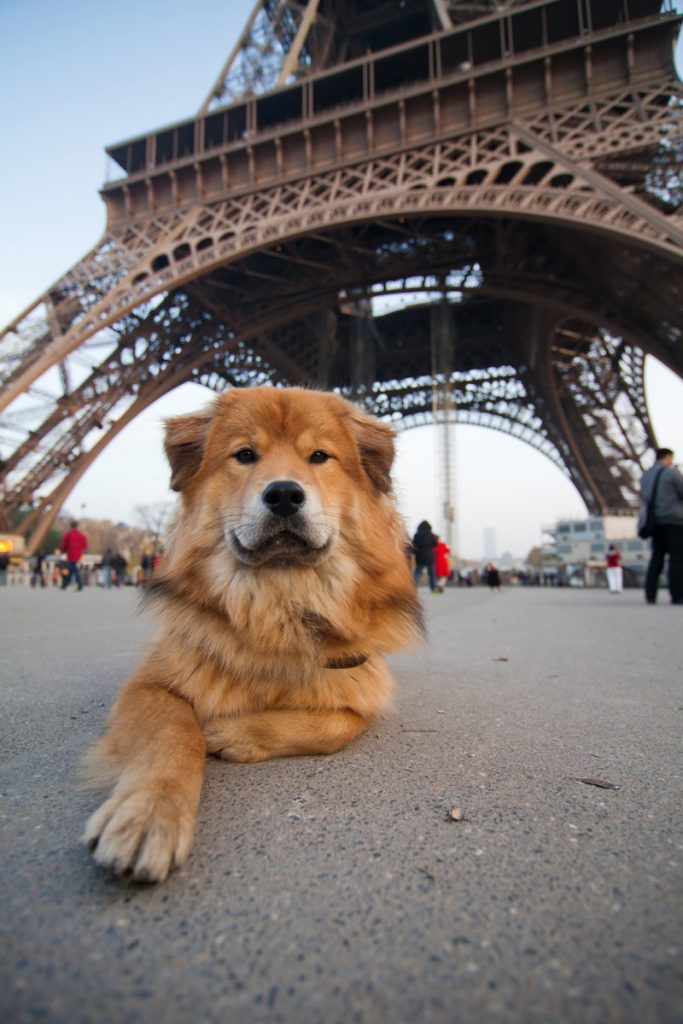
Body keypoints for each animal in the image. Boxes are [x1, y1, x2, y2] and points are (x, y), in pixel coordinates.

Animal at [83, 385, 423, 880]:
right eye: (245, 454)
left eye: (319, 456)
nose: (283, 494)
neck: (278, 604)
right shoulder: (150, 685)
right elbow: (175, 733)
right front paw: (149, 813)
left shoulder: (363, 682)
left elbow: (337, 725)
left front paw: (231, 733)